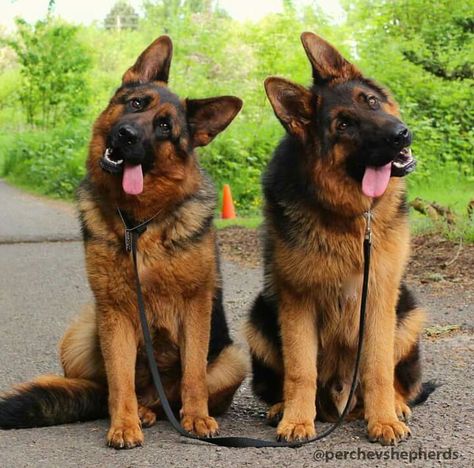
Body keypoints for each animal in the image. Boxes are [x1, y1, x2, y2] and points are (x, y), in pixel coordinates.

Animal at [0, 34, 248, 448]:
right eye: (135, 104)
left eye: (164, 126)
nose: (126, 136)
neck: (139, 223)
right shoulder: (114, 311)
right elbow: (120, 378)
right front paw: (124, 425)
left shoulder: (195, 307)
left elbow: (194, 372)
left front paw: (197, 418)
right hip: (82, 331)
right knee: (112, 389)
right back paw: (141, 412)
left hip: (233, 358)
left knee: (178, 392)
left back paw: (172, 411)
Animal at [244, 33, 434, 446]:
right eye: (344, 124)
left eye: (371, 101)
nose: (400, 134)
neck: (351, 216)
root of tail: (341, 403)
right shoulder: (297, 302)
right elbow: (301, 370)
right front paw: (298, 420)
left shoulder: (377, 296)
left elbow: (378, 368)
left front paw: (384, 420)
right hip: (259, 316)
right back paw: (283, 407)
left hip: (407, 313)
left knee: (395, 379)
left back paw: (395, 406)